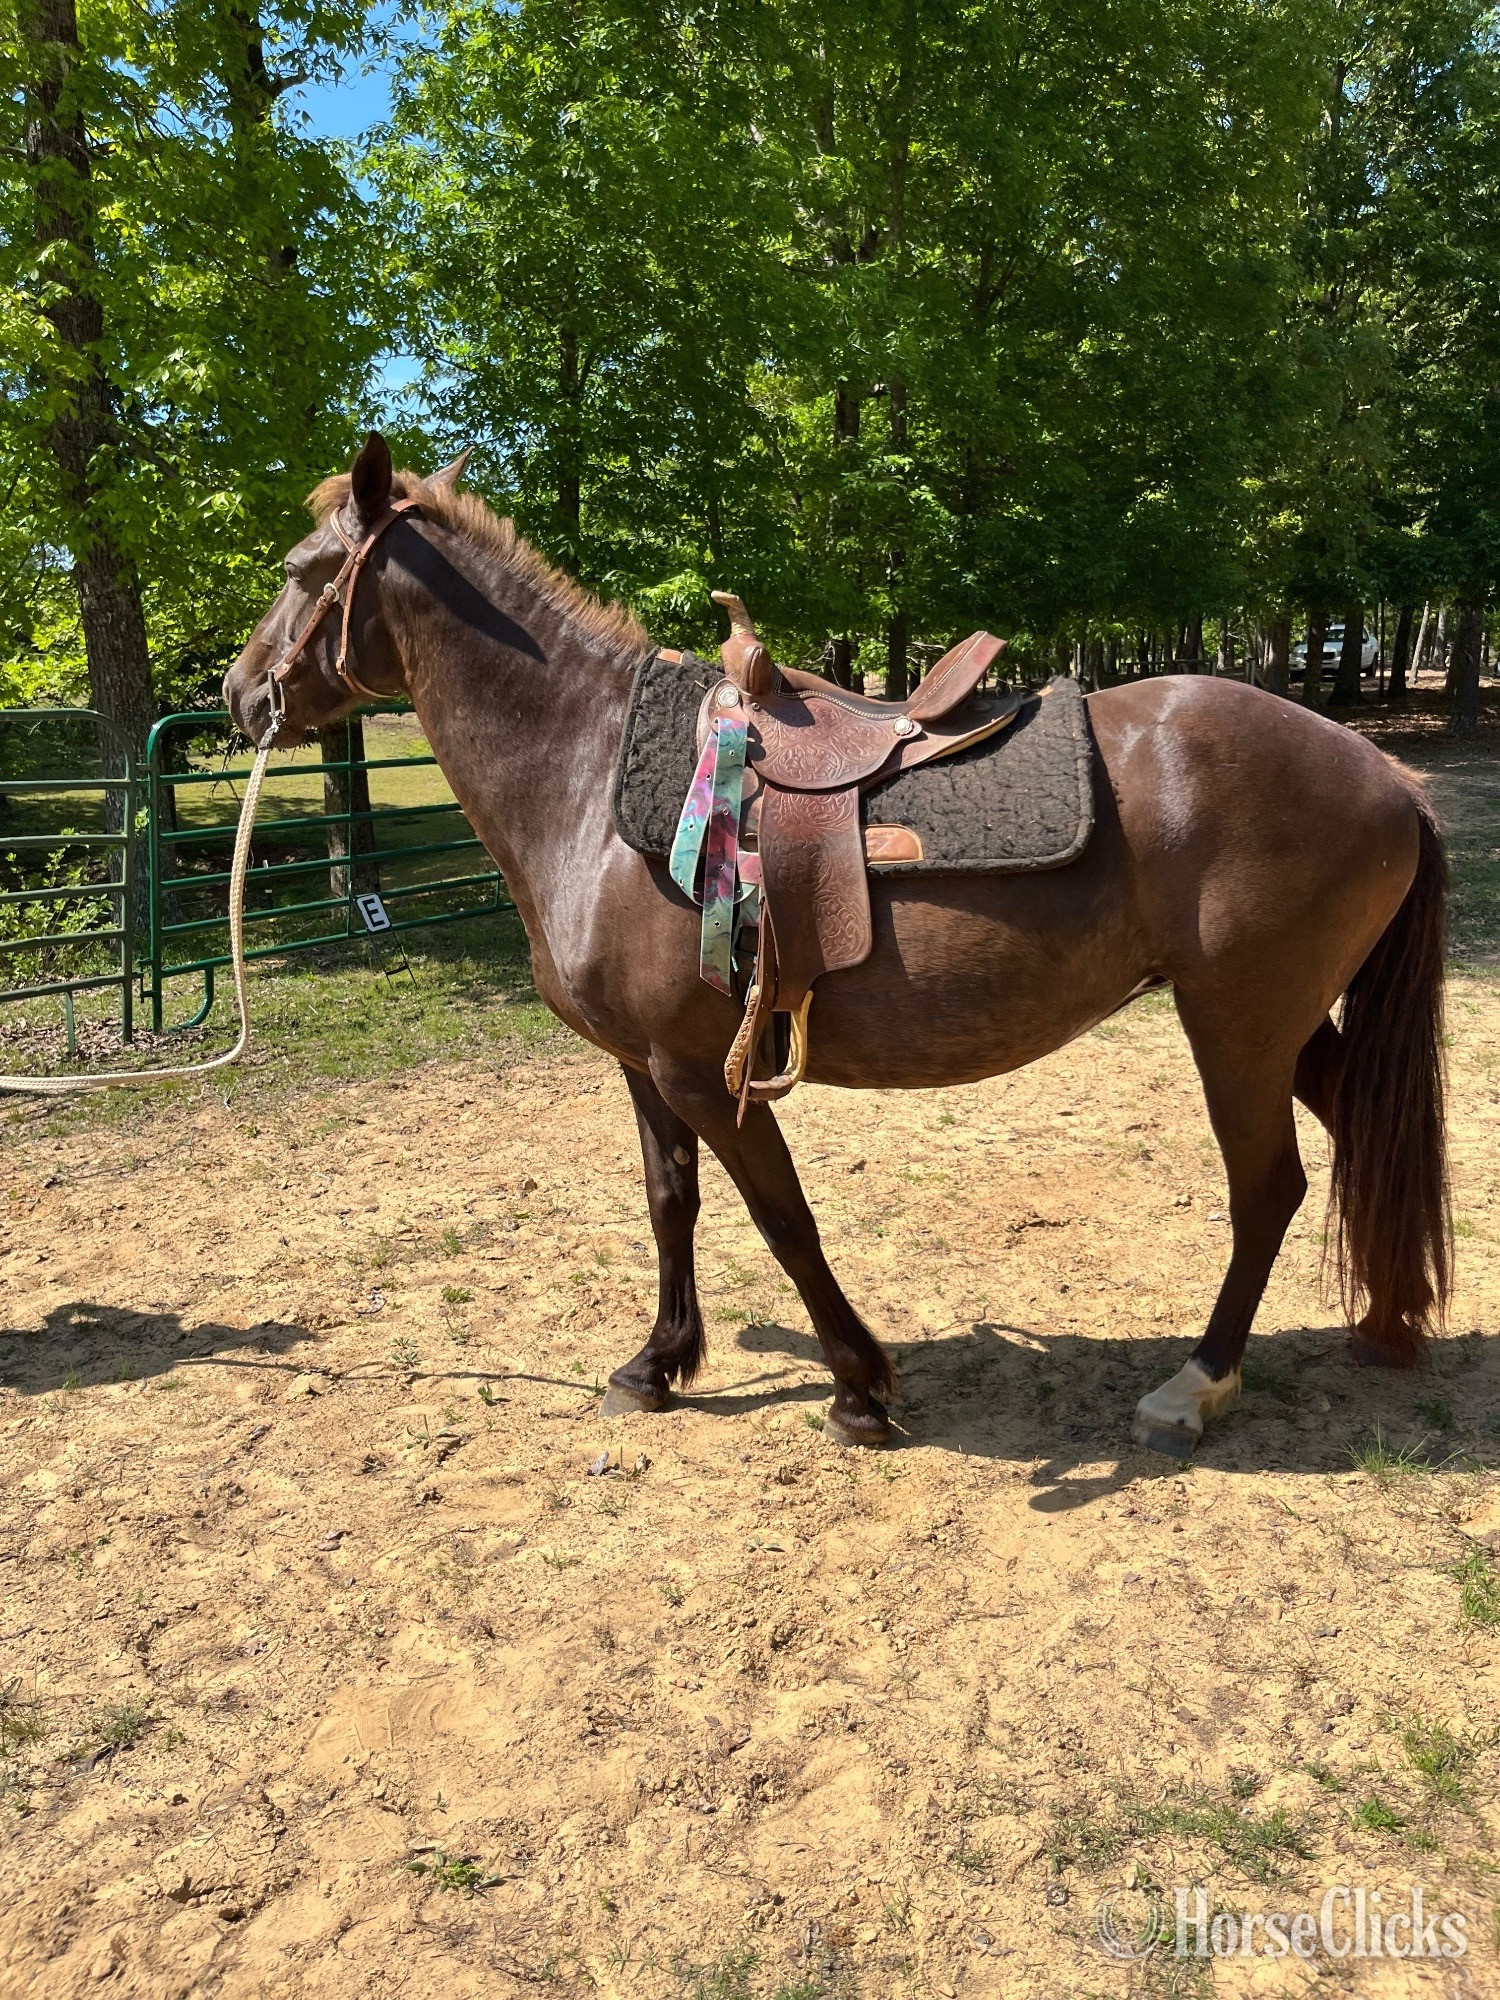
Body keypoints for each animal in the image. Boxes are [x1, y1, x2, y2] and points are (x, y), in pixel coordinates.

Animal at [224, 434, 1450, 1458]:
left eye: (297, 568)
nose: (238, 694)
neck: (586, 775)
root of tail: (1388, 776)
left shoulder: (705, 1073)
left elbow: (784, 1218)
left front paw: (859, 1387)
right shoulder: (644, 1068)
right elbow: (672, 1205)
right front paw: (657, 1365)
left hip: (1239, 1025)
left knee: (1268, 1187)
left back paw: (1193, 1385)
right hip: (1290, 1024)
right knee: (1362, 1134)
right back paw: (1390, 1319)